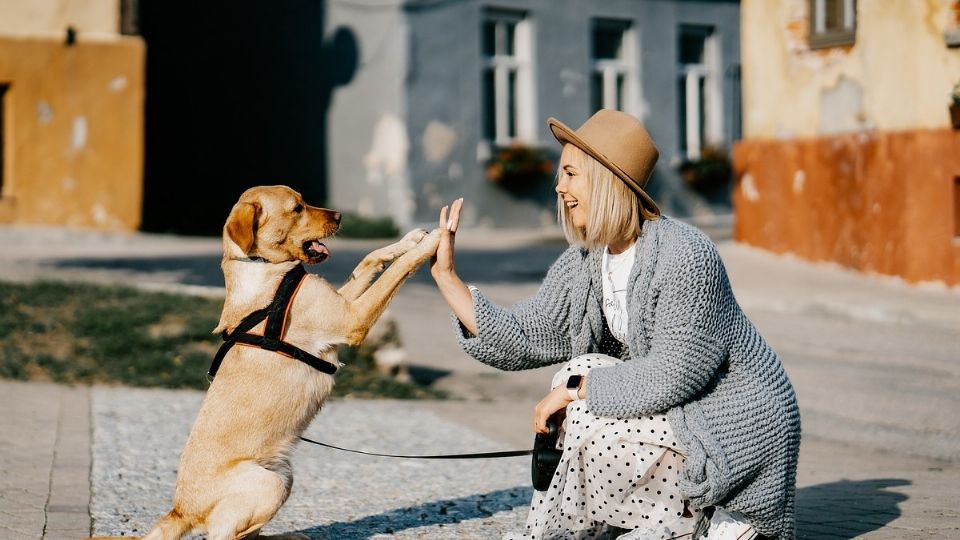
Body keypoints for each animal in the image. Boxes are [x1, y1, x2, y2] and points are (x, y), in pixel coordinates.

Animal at [90, 185, 442, 536]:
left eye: (304, 201)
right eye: (297, 208)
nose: (340, 216)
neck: (263, 267)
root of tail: (180, 510)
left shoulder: (342, 303)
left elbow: (370, 259)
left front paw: (410, 239)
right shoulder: (351, 319)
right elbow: (397, 271)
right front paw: (434, 241)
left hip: (284, 475)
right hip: (268, 483)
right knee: (225, 534)